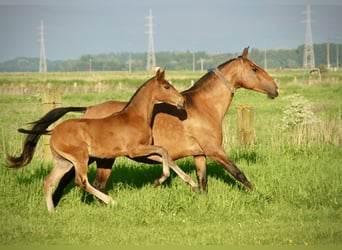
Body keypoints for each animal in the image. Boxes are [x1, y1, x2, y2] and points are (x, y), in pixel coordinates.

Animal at [8, 69, 199, 211]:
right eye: (166, 86)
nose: (182, 101)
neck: (135, 117)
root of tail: (53, 131)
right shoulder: (134, 150)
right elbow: (163, 151)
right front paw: (161, 180)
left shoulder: (142, 151)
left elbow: (167, 158)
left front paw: (192, 183)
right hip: (80, 158)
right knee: (81, 181)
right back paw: (111, 201)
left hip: (65, 162)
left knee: (49, 181)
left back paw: (52, 211)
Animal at [12, 47, 278, 197]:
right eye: (254, 69)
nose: (275, 88)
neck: (203, 107)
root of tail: (87, 109)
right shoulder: (214, 150)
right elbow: (239, 173)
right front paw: (261, 196)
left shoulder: (200, 154)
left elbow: (202, 182)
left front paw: (199, 196)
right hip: (97, 158)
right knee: (83, 181)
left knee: (86, 181)